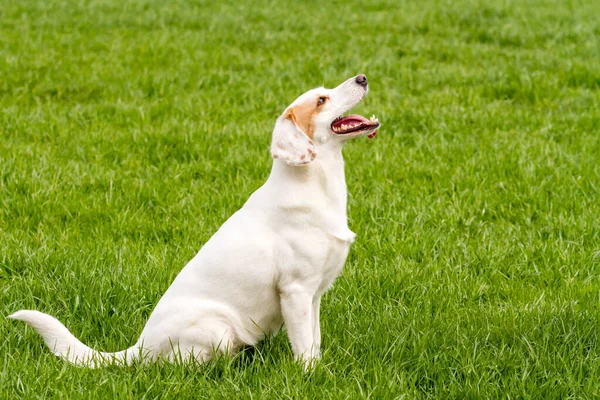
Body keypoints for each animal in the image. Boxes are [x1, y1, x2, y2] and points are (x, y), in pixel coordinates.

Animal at [8, 73, 380, 368]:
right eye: (321, 99)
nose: (362, 77)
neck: (317, 183)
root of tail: (139, 348)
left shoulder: (314, 295)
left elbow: (314, 341)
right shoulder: (296, 291)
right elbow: (304, 349)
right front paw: (310, 377)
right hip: (219, 328)